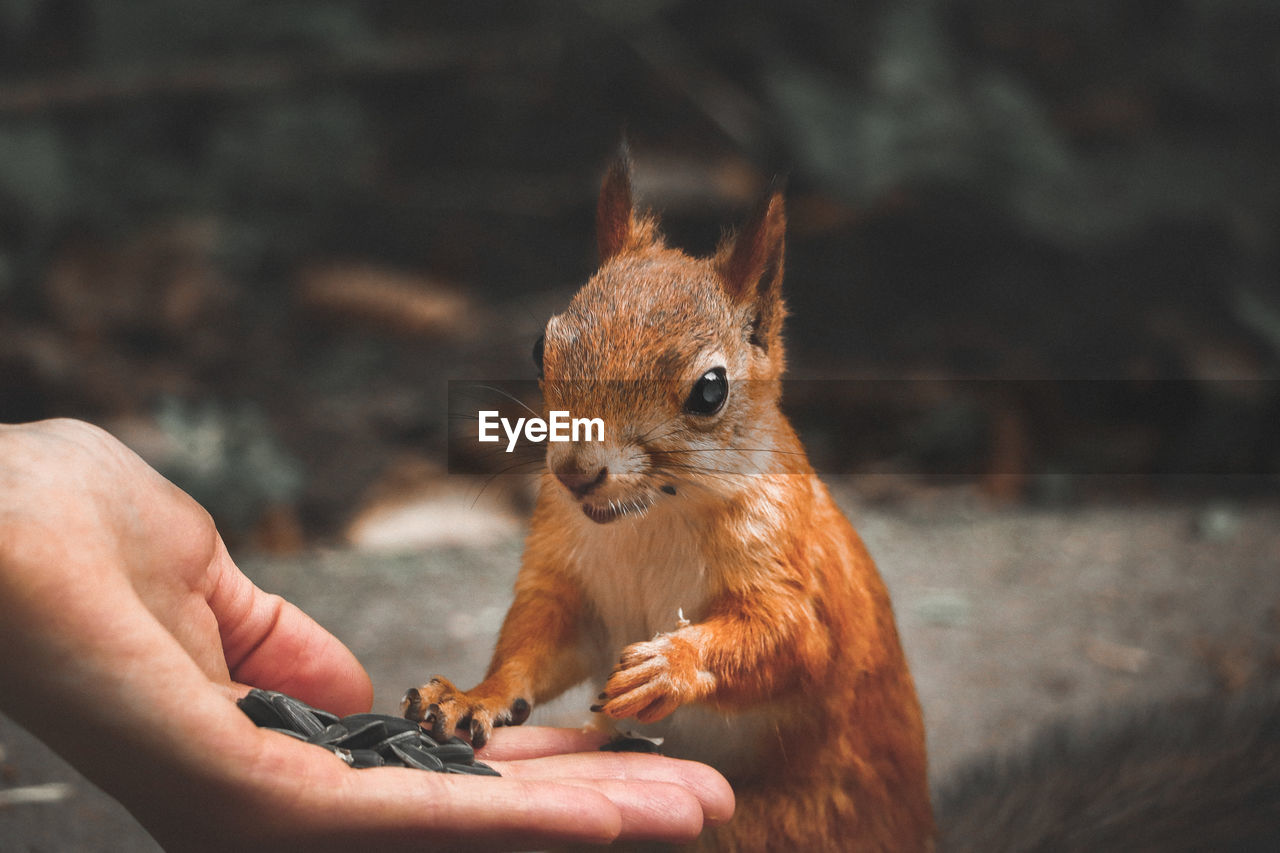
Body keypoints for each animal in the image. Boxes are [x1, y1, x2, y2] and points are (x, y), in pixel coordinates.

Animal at [404, 153, 936, 850]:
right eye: (542, 347)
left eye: (711, 390)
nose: (575, 473)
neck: (648, 519)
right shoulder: (567, 573)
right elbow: (538, 642)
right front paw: (472, 695)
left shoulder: (786, 560)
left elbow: (793, 639)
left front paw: (669, 667)